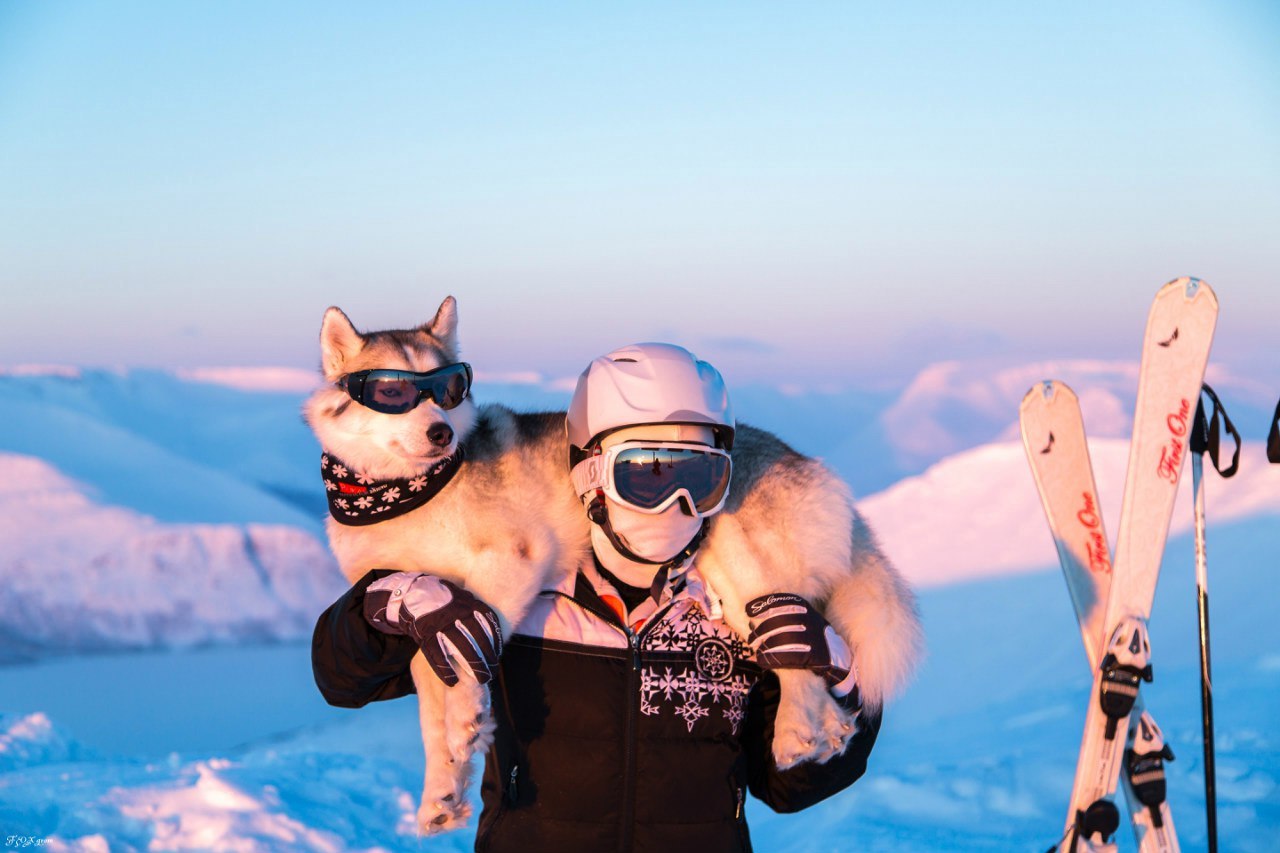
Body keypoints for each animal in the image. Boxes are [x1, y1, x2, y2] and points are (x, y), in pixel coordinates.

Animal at [302, 297, 921, 829]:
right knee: (821, 694)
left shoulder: (511, 560)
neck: (412, 497)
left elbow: (464, 658)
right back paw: (822, 734)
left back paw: (795, 731)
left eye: (450, 390)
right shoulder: (425, 622)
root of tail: (811, 465)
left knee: (798, 660)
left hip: (744, 572)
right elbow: (436, 685)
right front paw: (443, 791)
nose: (441, 432)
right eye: (392, 391)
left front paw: (463, 720)